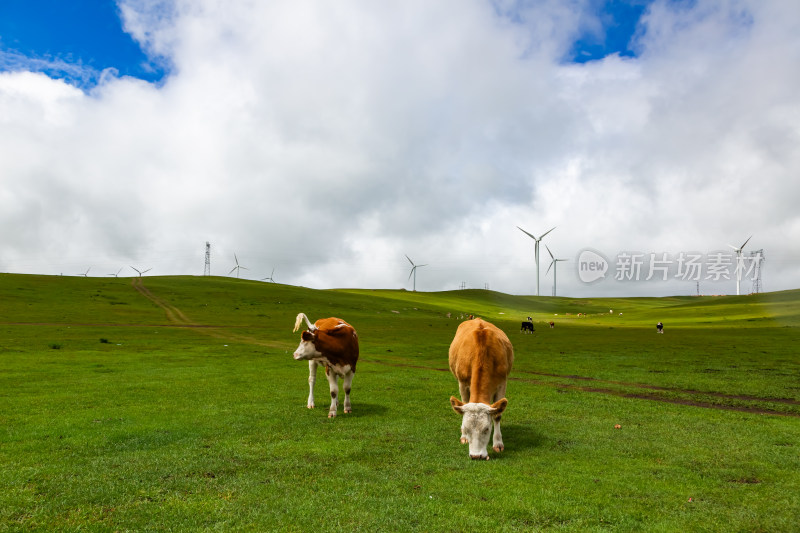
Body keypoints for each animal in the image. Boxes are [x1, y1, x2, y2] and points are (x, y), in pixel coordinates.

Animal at [446, 316, 516, 458]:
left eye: (487, 429)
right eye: (466, 428)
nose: (476, 456)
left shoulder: (502, 384)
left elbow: (497, 415)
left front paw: (498, 443)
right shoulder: (462, 383)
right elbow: (464, 404)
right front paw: (464, 437)